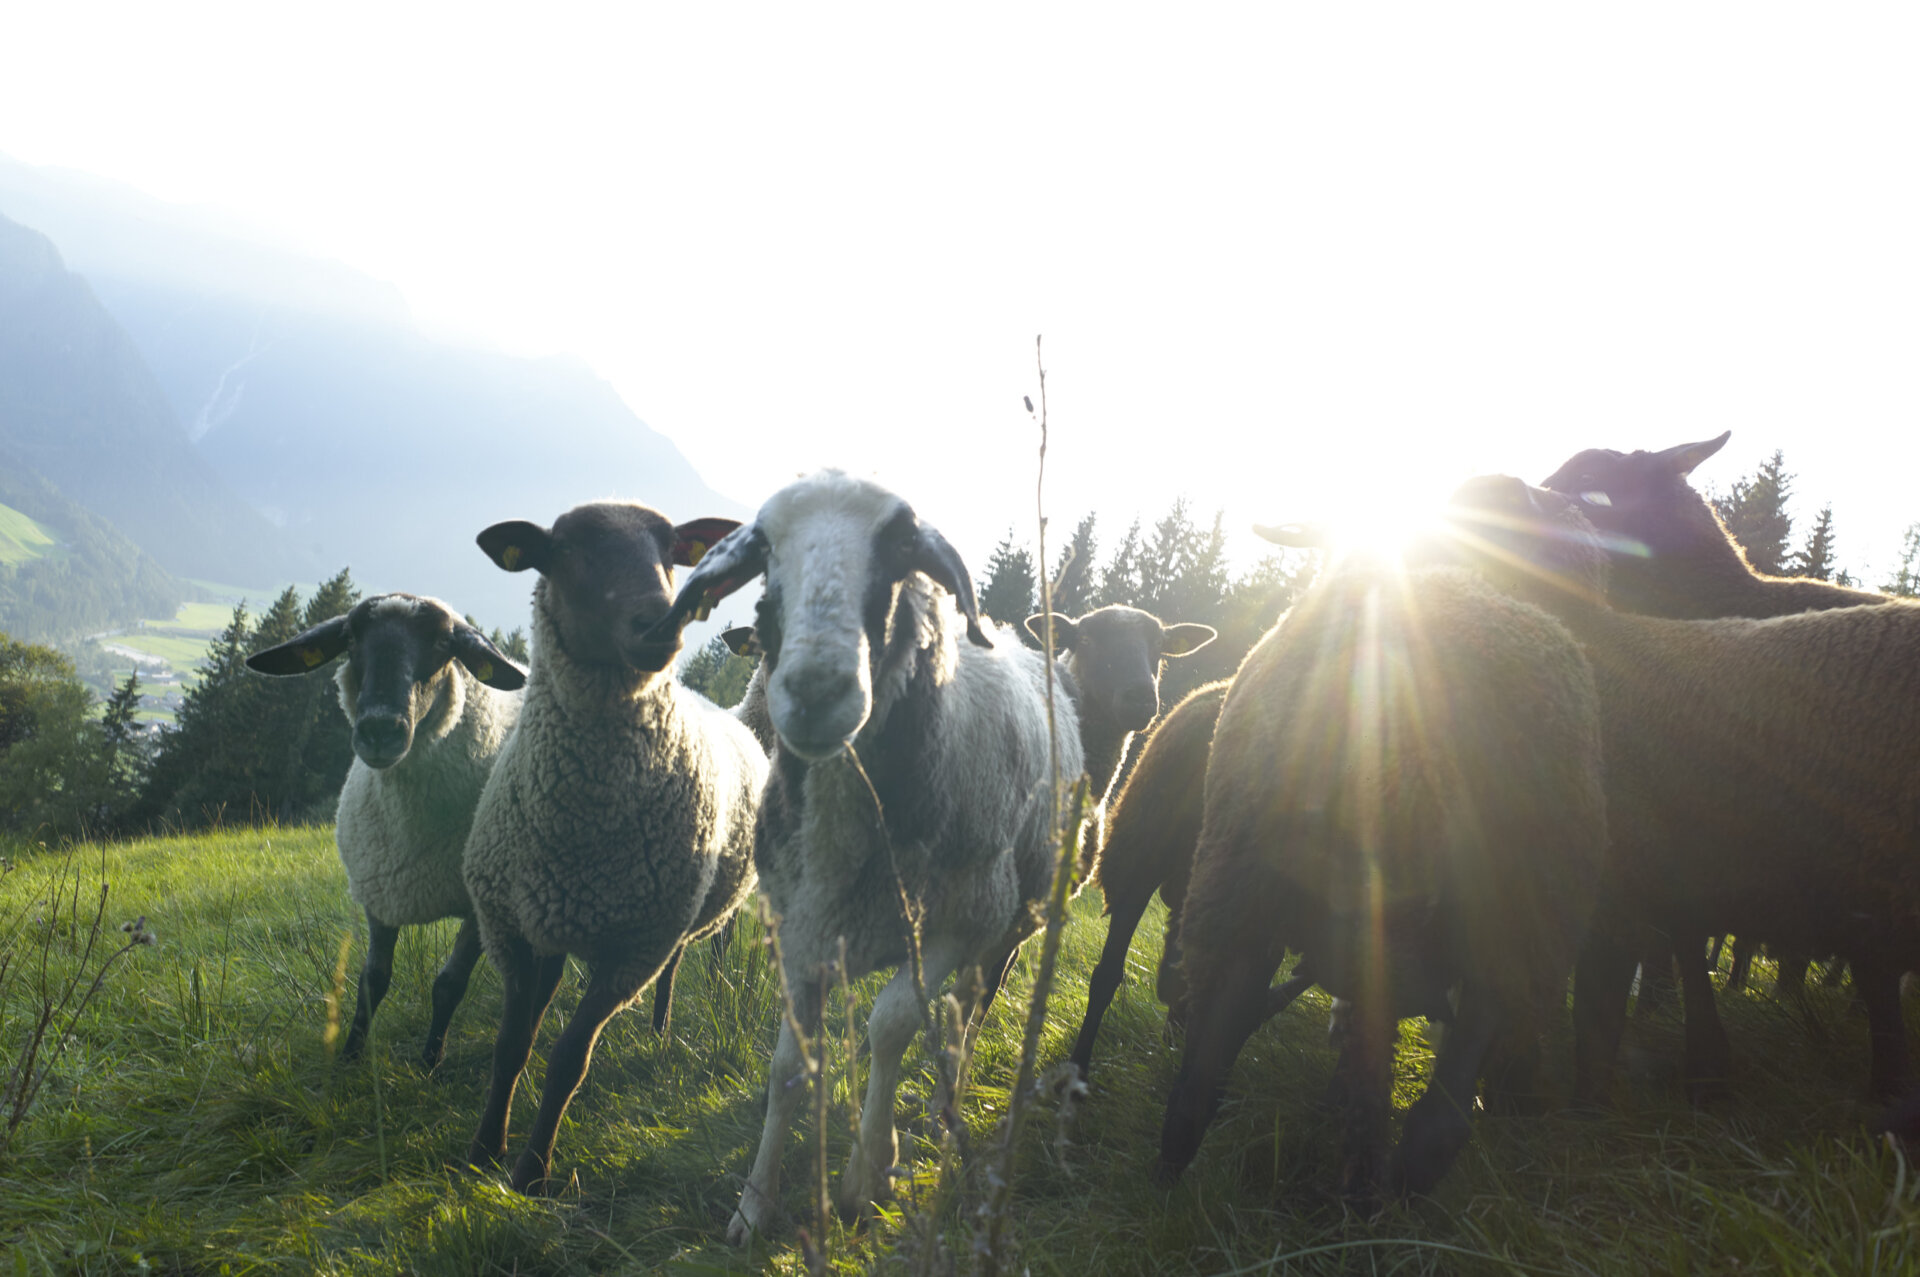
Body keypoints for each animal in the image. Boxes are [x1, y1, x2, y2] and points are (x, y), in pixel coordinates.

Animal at [245, 595, 526, 1067]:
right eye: (350, 640)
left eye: (443, 643)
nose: (379, 730)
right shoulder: (381, 888)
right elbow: (372, 979)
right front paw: (350, 1056)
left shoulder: (479, 902)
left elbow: (449, 985)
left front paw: (430, 1062)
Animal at [458, 499, 764, 1198]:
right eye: (567, 550)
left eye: (671, 552)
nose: (662, 620)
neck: (582, 824)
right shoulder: (514, 929)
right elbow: (511, 1047)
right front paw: (484, 1150)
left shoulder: (632, 948)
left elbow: (569, 1058)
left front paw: (531, 1172)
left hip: (677, 916)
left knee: (676, 966)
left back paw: (660, 1027)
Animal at [652, 472, 1090, 1236]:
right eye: (763, 574)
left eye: (898, 558)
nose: (816, 692)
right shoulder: (800, 929)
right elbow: (788, 1067)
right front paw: (754, 1205)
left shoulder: (952, 923)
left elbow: (892, 1025)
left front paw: (866, 1173)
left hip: (1001, 922)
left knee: (962, 1013)